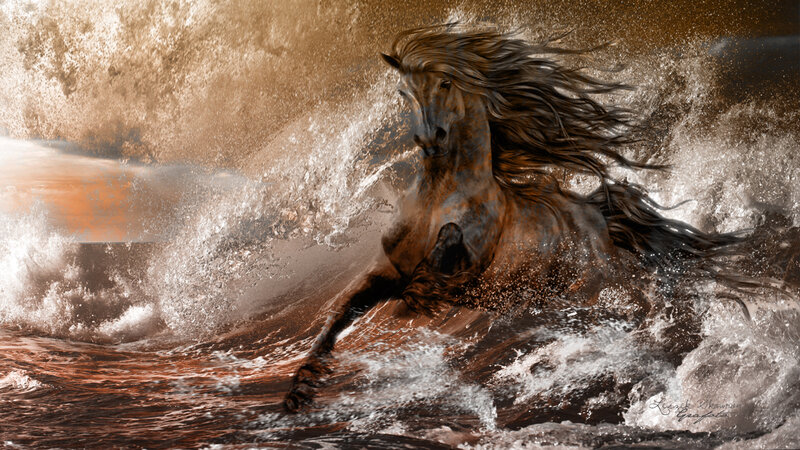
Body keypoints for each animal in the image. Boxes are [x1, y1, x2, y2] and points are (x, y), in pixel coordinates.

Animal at [282, 23, 744, 412]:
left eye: (445, 83)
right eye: (403, 93)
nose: (429, 139)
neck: (436, 198)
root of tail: (598, 218)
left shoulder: (468, 268)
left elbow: (448, 247)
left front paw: (420, 291)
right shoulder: (382, 274)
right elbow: (335, 321)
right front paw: (299, 390)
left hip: (592, 286)